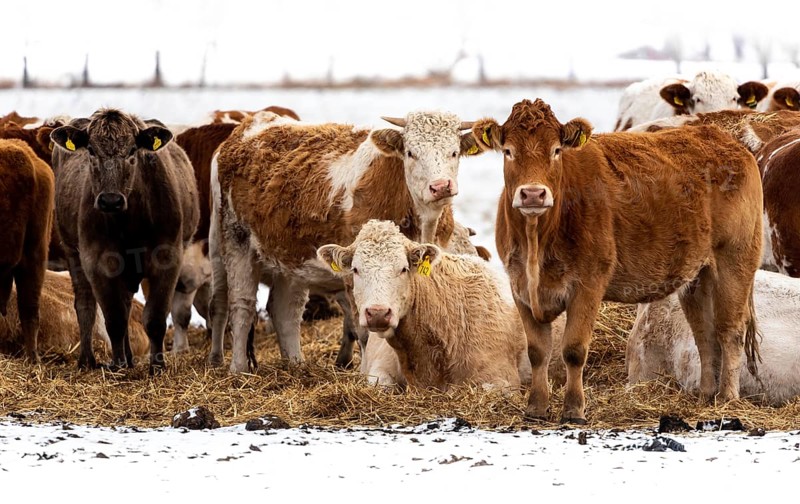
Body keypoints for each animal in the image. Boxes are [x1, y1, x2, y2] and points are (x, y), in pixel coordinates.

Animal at [50, 109, 200, 371]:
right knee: (86, 305)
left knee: (127, 302)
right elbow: (114, 318)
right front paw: (117, 365)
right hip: (72, 252)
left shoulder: (168, 257)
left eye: (132, 151)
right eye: (91, 150)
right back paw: (88, 360)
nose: (110, 200)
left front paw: (157, 366)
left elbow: (155, 318)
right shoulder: (97, 260)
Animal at [211, 109, 481, 372]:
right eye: (411, 153)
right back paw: (238, 369)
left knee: (286, 310)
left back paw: (296, 365)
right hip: (233, 239)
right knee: (241, 305)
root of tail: (251, 124)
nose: (440, 186)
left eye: (454, 152)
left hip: (288, 257)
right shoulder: (355, 273)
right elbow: (364, 331)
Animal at [473, 98, 763, 424]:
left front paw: (574, 409)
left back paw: (727, 397)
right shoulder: (519, 286)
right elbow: (537, 351)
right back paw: (705, 395)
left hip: (736, 260)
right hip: (696, 276)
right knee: (705, 334)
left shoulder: (588, 284)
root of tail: (726, 141)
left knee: (730, 330)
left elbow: (574, 350)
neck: (537, 240)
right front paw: (535, 408)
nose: (533, 194)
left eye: (556, 150)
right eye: (508, 151)